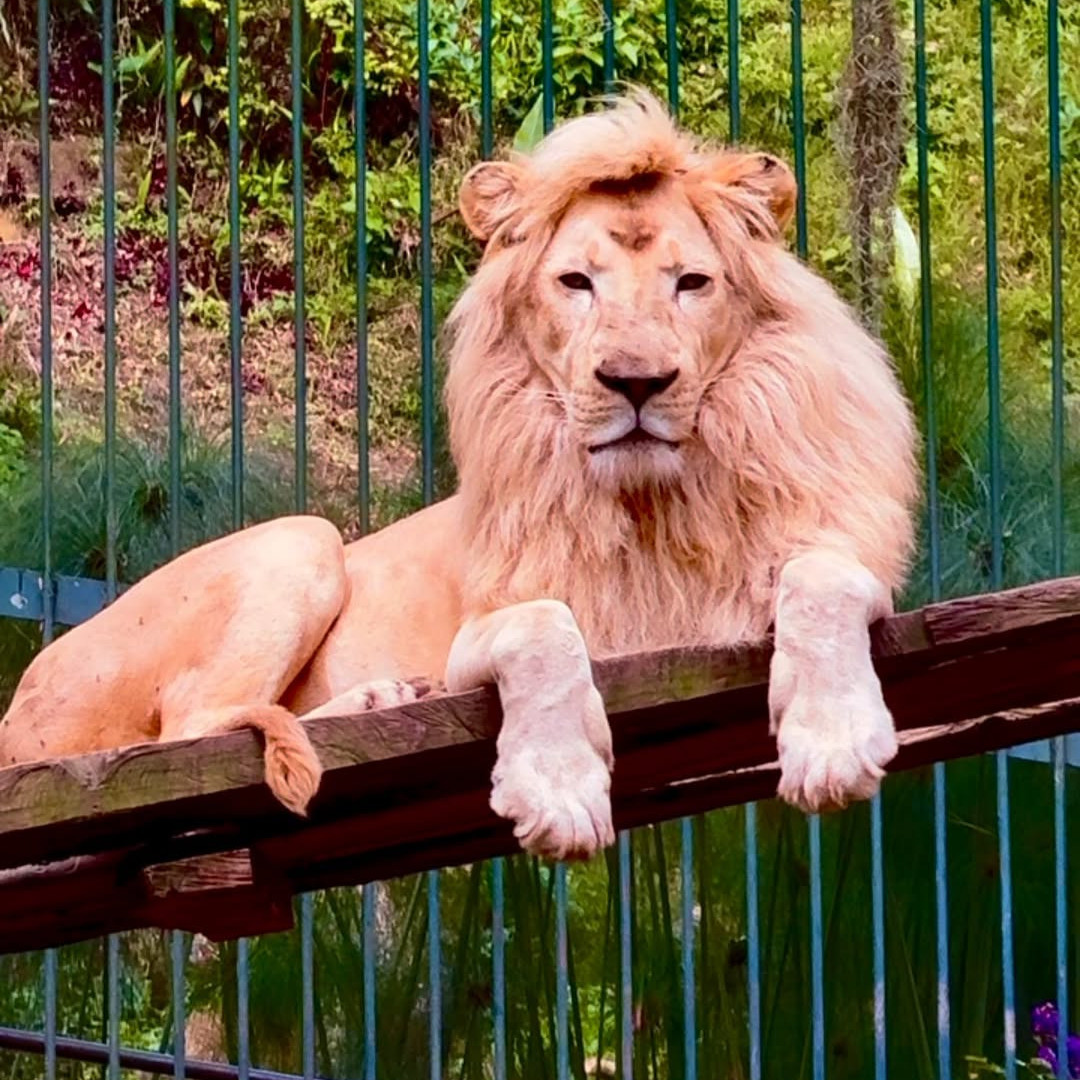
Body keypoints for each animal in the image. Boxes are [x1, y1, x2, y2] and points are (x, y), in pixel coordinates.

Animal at [0, 91, 917, 860]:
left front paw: (833, 740)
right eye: (575, 283)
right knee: (187, 733)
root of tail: (15, 710)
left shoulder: (833, 562)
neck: (652, 505)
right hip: (299, 541)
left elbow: (820, 582)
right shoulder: (489, 624)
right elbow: (545, 630)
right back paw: (380, 701)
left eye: (691, 283)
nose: (635, 382)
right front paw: (558, 794)